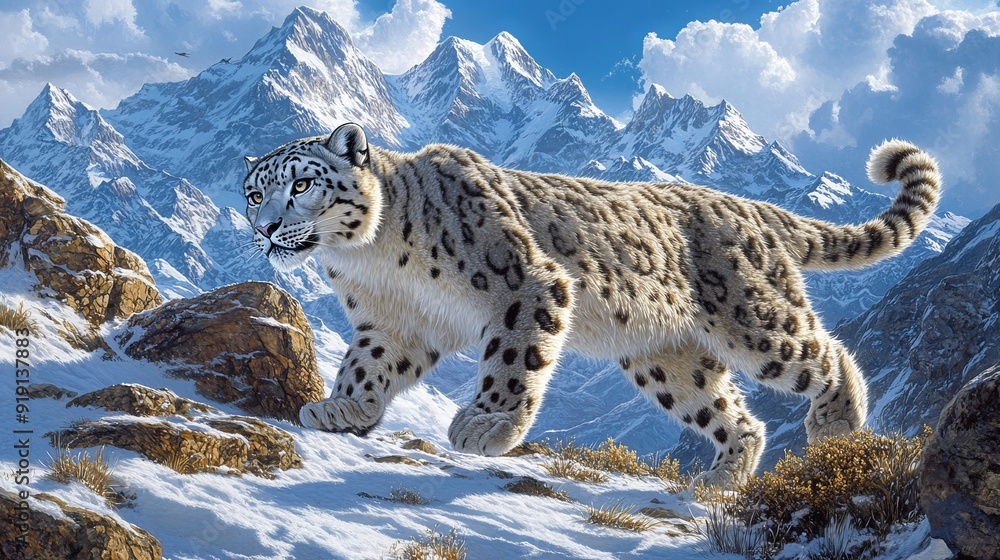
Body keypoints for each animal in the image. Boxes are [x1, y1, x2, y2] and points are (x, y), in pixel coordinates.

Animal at [242, 123, 940, 488]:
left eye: (301, 184)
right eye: (254, 192)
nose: (266, 228)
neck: (373, 256)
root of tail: (748, 206)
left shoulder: (529, 283)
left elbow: (512, 359)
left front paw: (488, 426)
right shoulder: (393, 321)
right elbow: (368, 365)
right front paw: (344, 407)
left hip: (757, 322)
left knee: (826, 352)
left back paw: (837, 426)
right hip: (669, 361)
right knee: (735, 415)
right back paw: (720, 480)